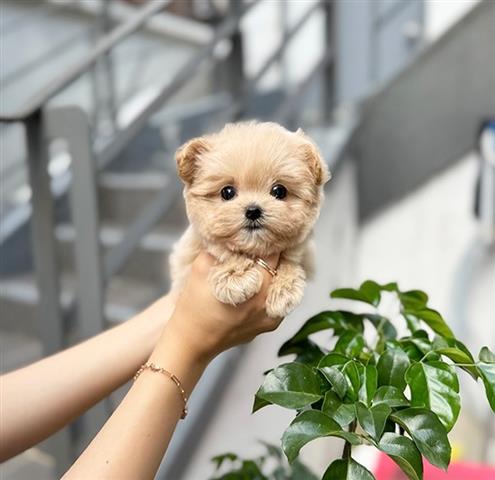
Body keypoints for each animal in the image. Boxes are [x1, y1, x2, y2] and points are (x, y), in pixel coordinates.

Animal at [170, 120, 330, 316]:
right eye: (227, 192)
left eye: (279, 191)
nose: (253, 211)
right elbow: (223, 250)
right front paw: (235, 276)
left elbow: (290, 259)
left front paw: (284, 289)